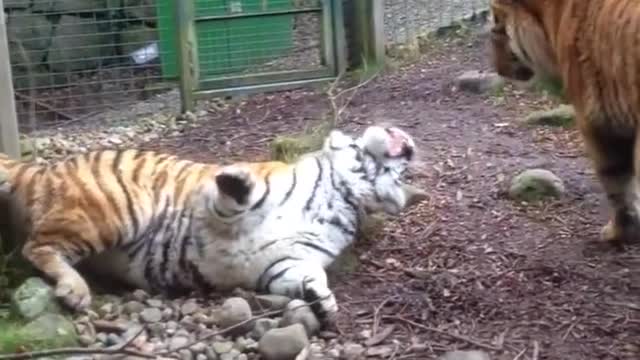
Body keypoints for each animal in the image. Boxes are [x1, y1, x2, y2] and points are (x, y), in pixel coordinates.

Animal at [0, 124, 424, 324]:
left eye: (401, 174)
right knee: (36, 246)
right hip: (117, 208)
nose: (410, 146)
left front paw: (323, 302)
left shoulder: (283, 263)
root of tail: (43, 168)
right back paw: (75, 290)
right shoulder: (216, 204)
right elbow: (232, 197)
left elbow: (307, 277)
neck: (344, 195)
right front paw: (235, 181)